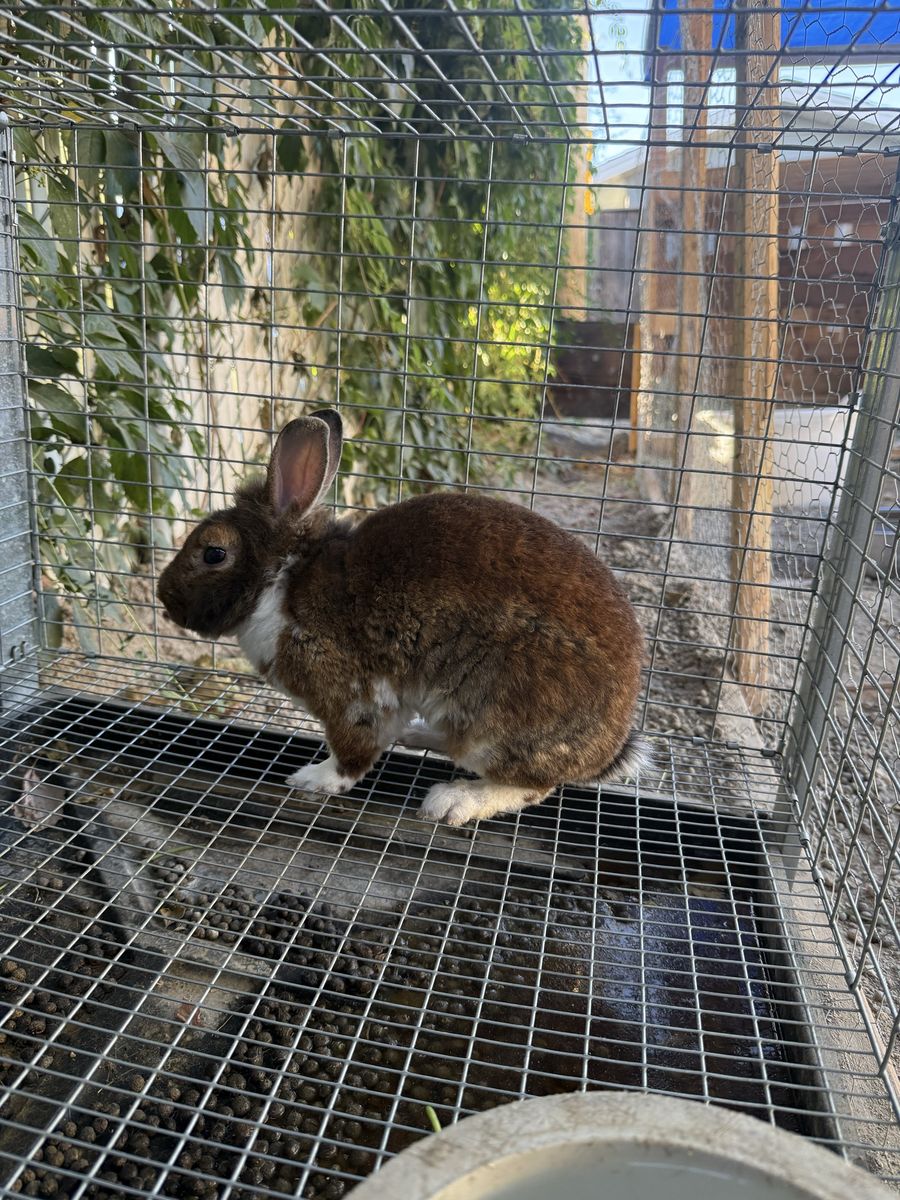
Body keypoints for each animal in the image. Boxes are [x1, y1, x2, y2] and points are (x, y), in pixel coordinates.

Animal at [157, 410, 647, 827]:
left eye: (213, 553)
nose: (163, 597)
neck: (282, 580)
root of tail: (610, 745)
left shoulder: (351, 696)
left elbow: (351, 754)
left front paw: (312, 779)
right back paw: (419, 738)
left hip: (498, 719)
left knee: (532, 785)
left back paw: (452, 801)